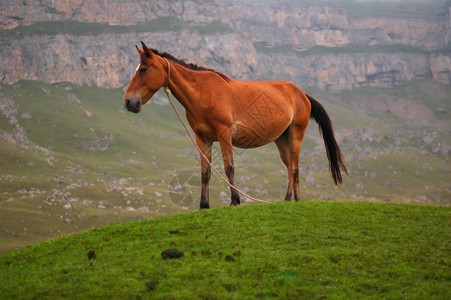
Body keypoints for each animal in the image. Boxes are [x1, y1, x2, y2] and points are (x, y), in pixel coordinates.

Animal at [123, 41, 350, 209]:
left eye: (143, 70)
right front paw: (203, 205)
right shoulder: (202, 138)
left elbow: (229, 167)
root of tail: (302, 94)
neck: (204, 93)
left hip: (296, 134)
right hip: (282, 140)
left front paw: (235, 201)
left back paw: (287, 198)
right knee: (291, 168)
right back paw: (295, 200)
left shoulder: (224, 134)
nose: (128, 102)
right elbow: (205, 173)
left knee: (293, 167)